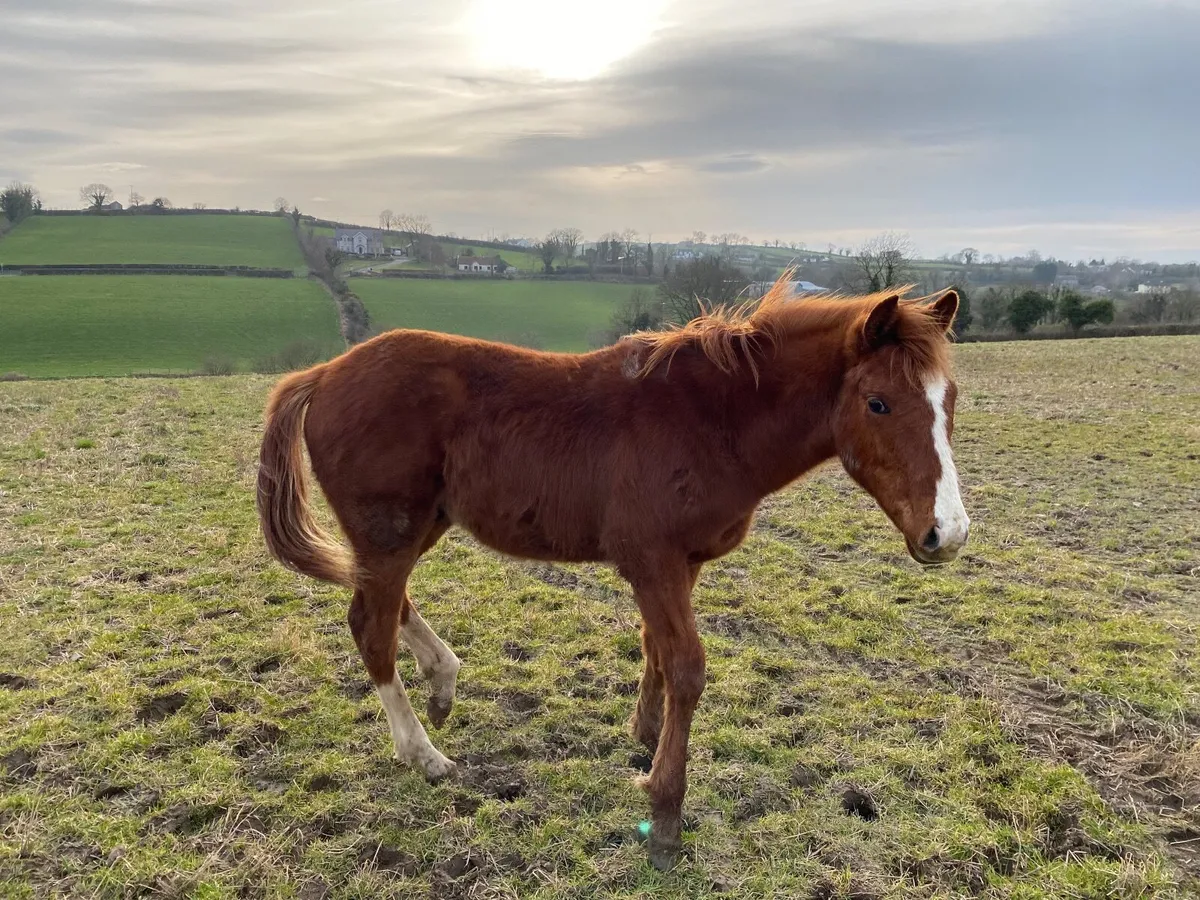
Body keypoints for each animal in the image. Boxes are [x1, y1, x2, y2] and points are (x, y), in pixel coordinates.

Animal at [255, 275, 969, 870]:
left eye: (950, 399)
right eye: (878, 403)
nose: (948, 534)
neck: (710, 420)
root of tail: (324, 372)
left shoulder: (678, 566)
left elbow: (656, 650)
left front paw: (645, 740)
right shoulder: (653, 563)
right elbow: (687, 668)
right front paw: (666, 813)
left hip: (414, 530)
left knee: (380, 603)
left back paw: (443, 679)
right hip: (391, 535)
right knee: (370, 627)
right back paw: (424, 754)